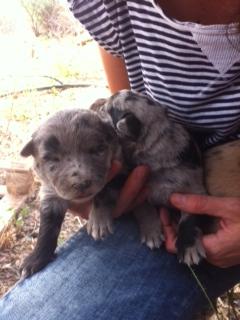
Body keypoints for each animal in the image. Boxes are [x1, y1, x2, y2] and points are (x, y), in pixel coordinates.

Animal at [20, 108, 122, 278]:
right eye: (52, 159)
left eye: (98, 150)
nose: (81, 183)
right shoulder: (50, 193)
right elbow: (47, 227)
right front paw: (36, 258)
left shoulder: (121, 167)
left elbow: (104, 191)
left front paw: (99, 220)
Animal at [104, 89, 209, 264]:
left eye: (112, 110)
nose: (114, 93)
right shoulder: (141, 192)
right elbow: (144, 208)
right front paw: (151, 232)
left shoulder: (195, 191)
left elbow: (189, 218)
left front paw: (189, 247)